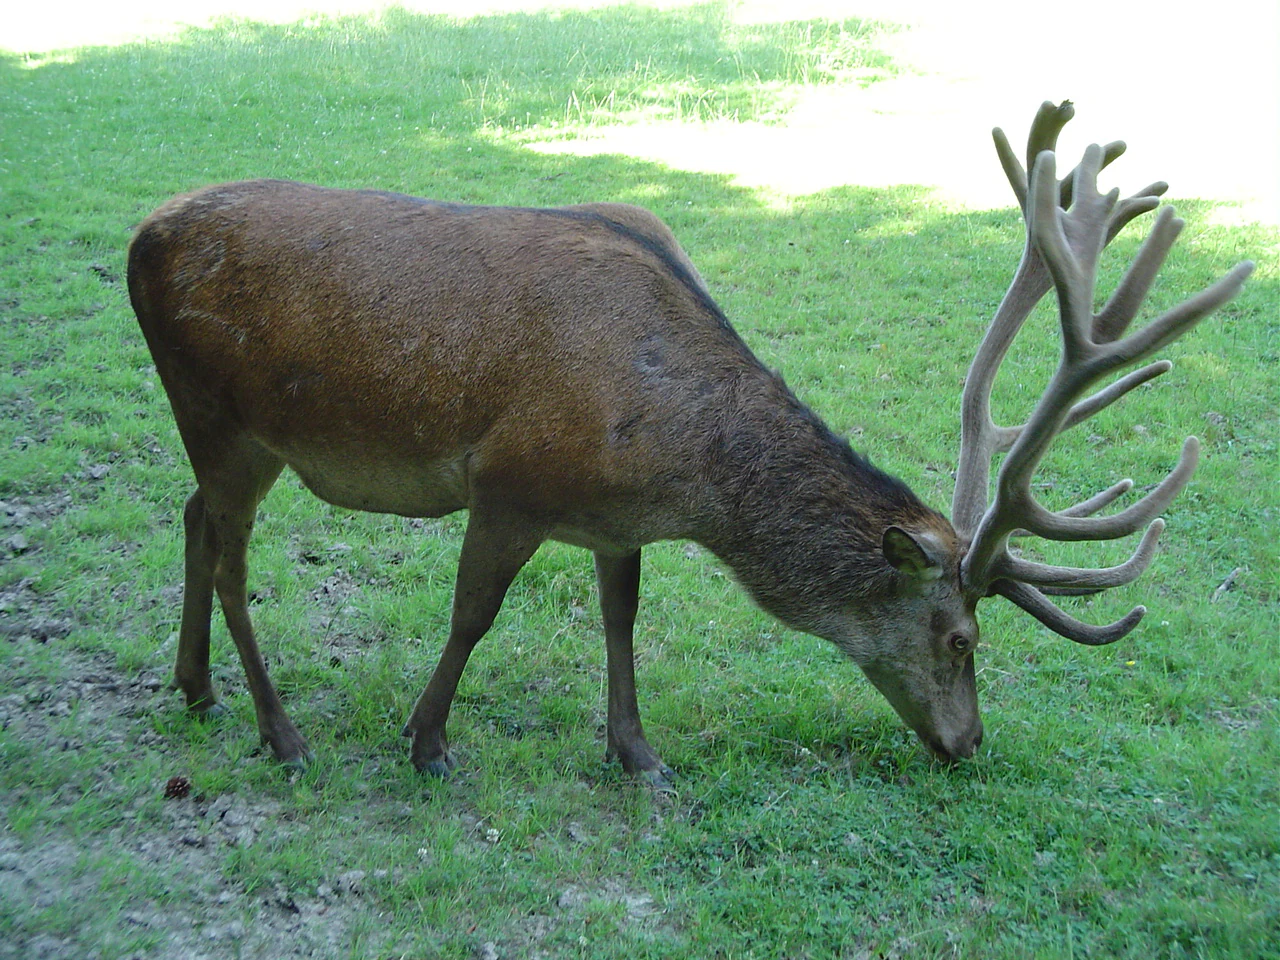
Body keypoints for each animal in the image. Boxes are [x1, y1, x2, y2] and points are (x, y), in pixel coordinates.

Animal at [127, 102, 1252, 788]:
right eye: (961, 640)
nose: (969, 743)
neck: (678, 470)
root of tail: (140, 238)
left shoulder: (610, 520)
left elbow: (621, 620)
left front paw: (636, 753)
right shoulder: (509, 482)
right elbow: (473, 616)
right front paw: (428, 741)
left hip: (237, 437)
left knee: (190, 519)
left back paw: (194, 686)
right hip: (220, 413)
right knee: (228, 557)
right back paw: (280, 731)